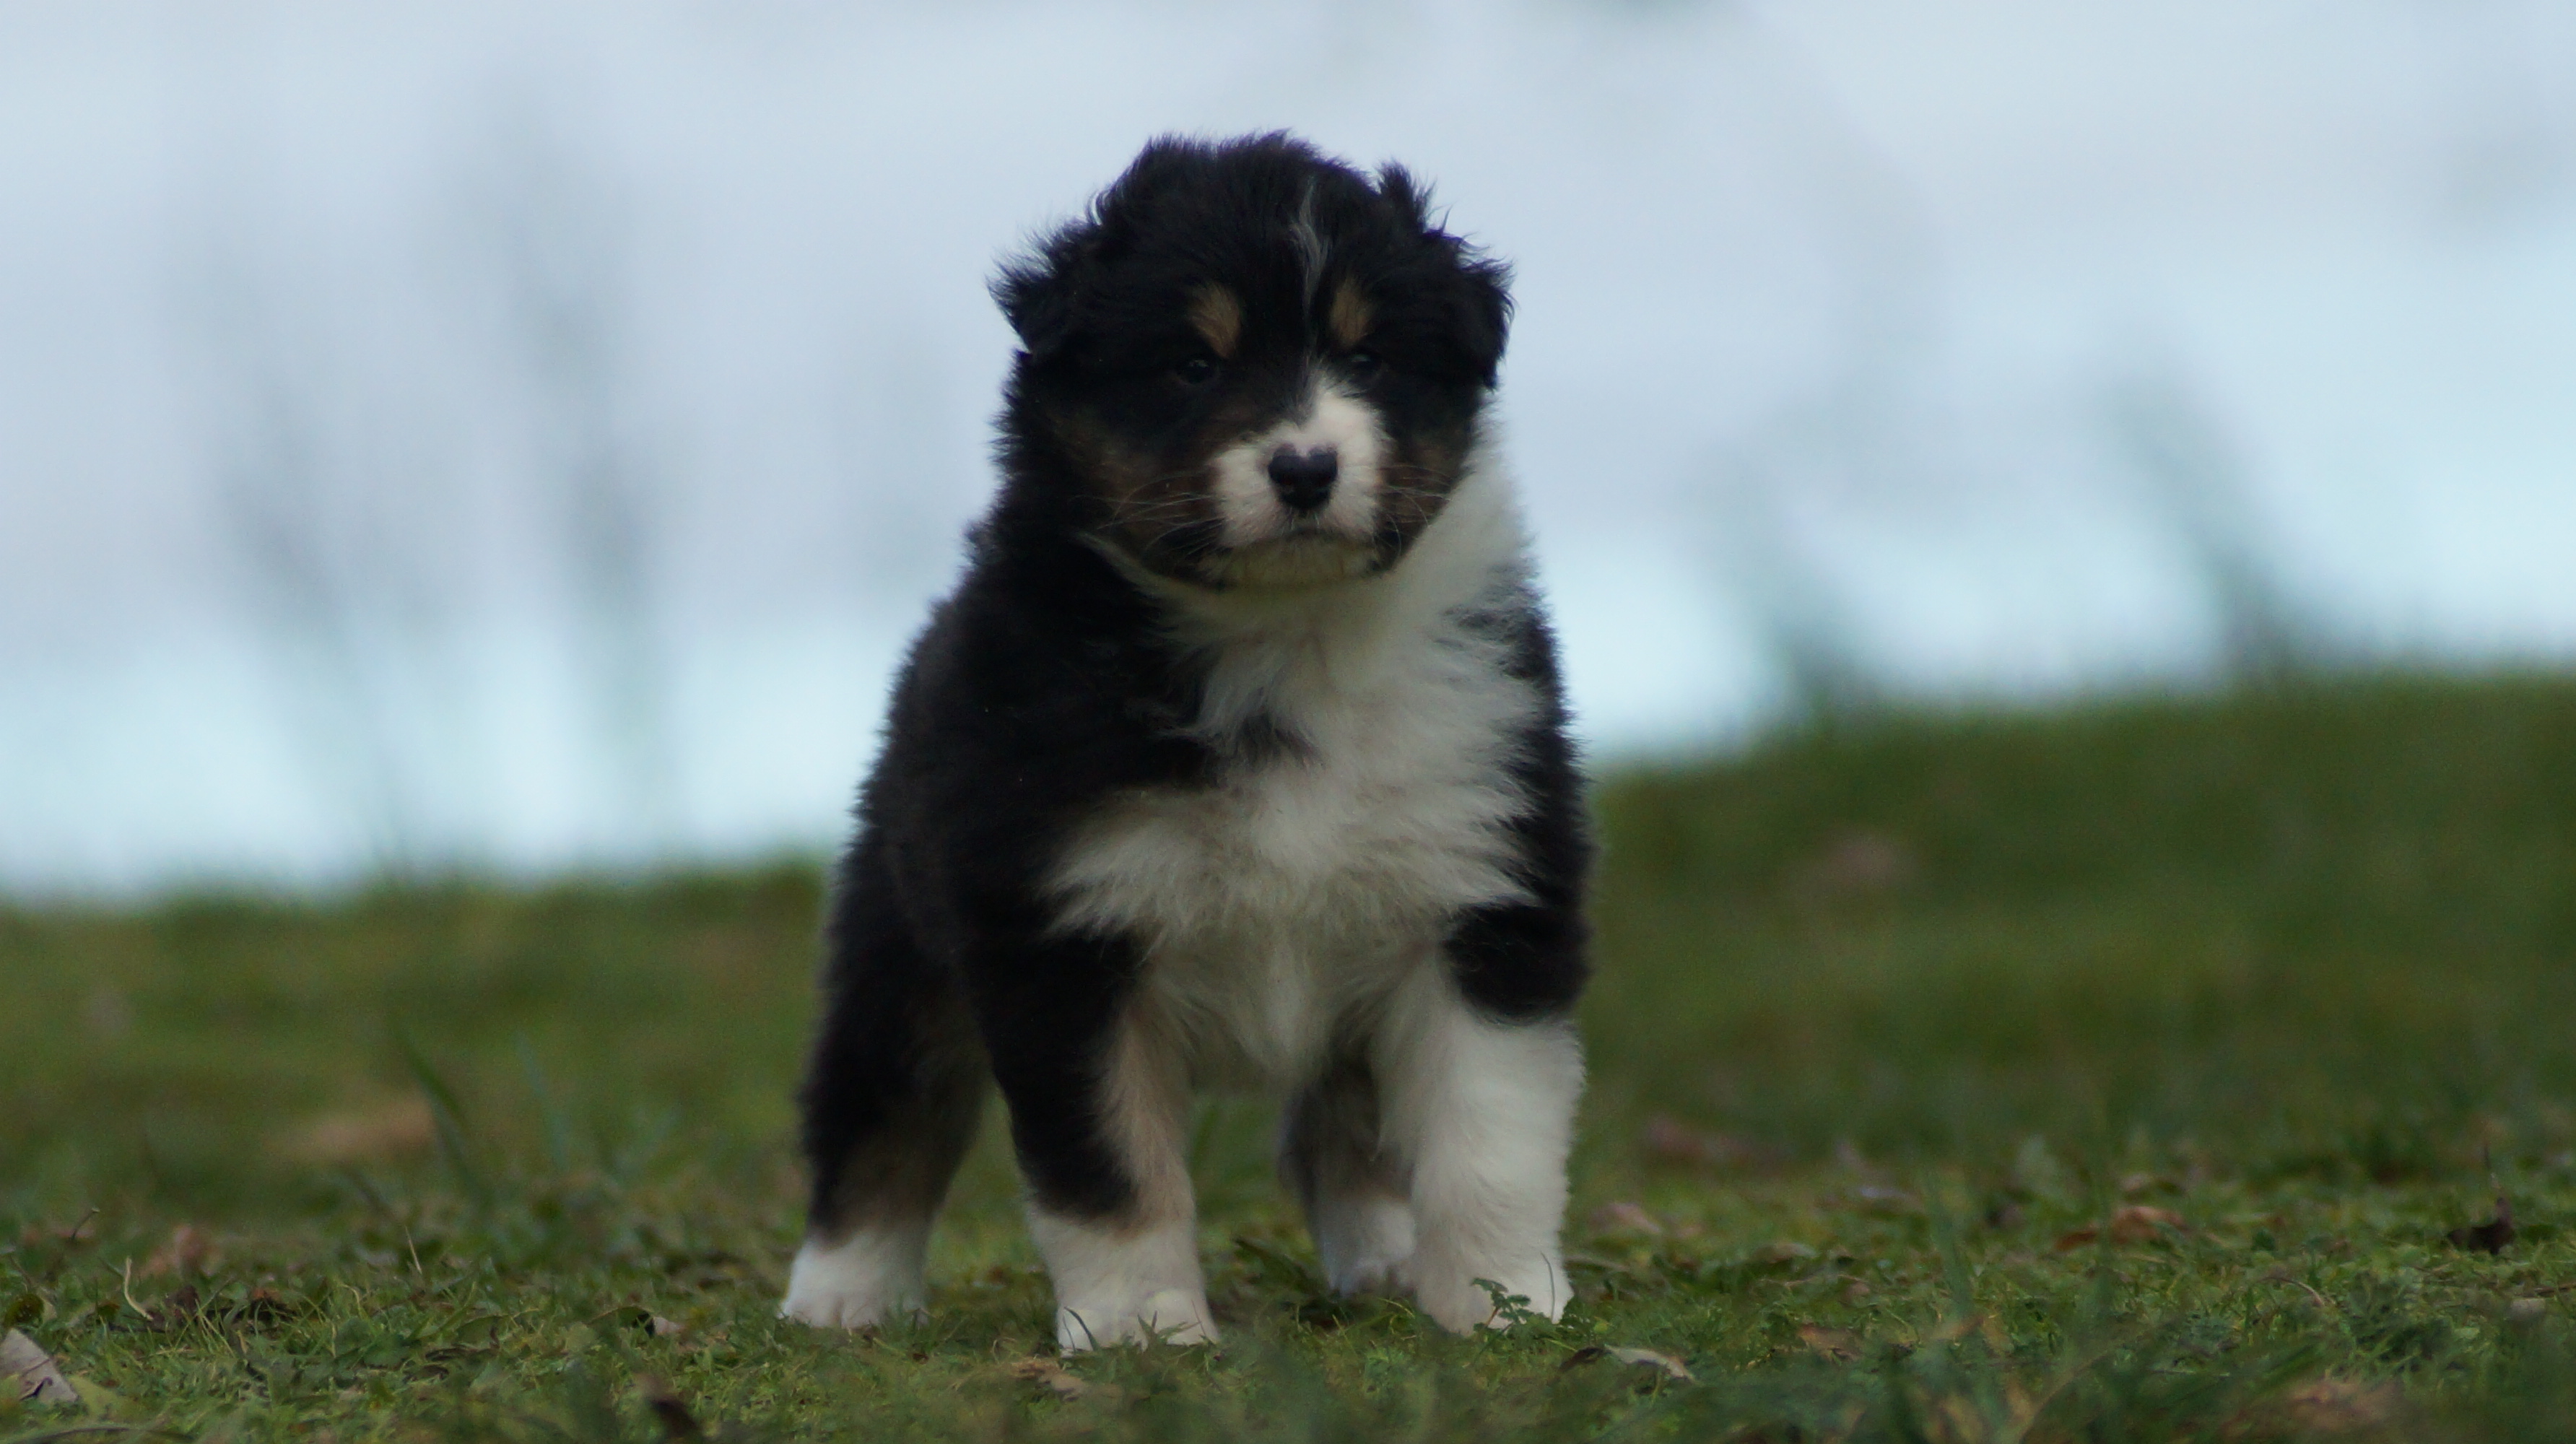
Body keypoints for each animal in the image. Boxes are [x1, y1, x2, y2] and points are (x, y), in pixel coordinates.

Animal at [778, 135, 1586, 1349]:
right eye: (1192, 366)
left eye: (1370, 355)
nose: (1305, 469)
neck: (1283, 635)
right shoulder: (1062, 936)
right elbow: (1111, 1164)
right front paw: (1141, 1331)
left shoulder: (1487, 894)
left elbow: (1488, 1141)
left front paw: (1505, 1308)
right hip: (901, 940)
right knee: (881, 1109)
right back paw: (842, 1295)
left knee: (1341, 1132)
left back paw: (1387, 1261)